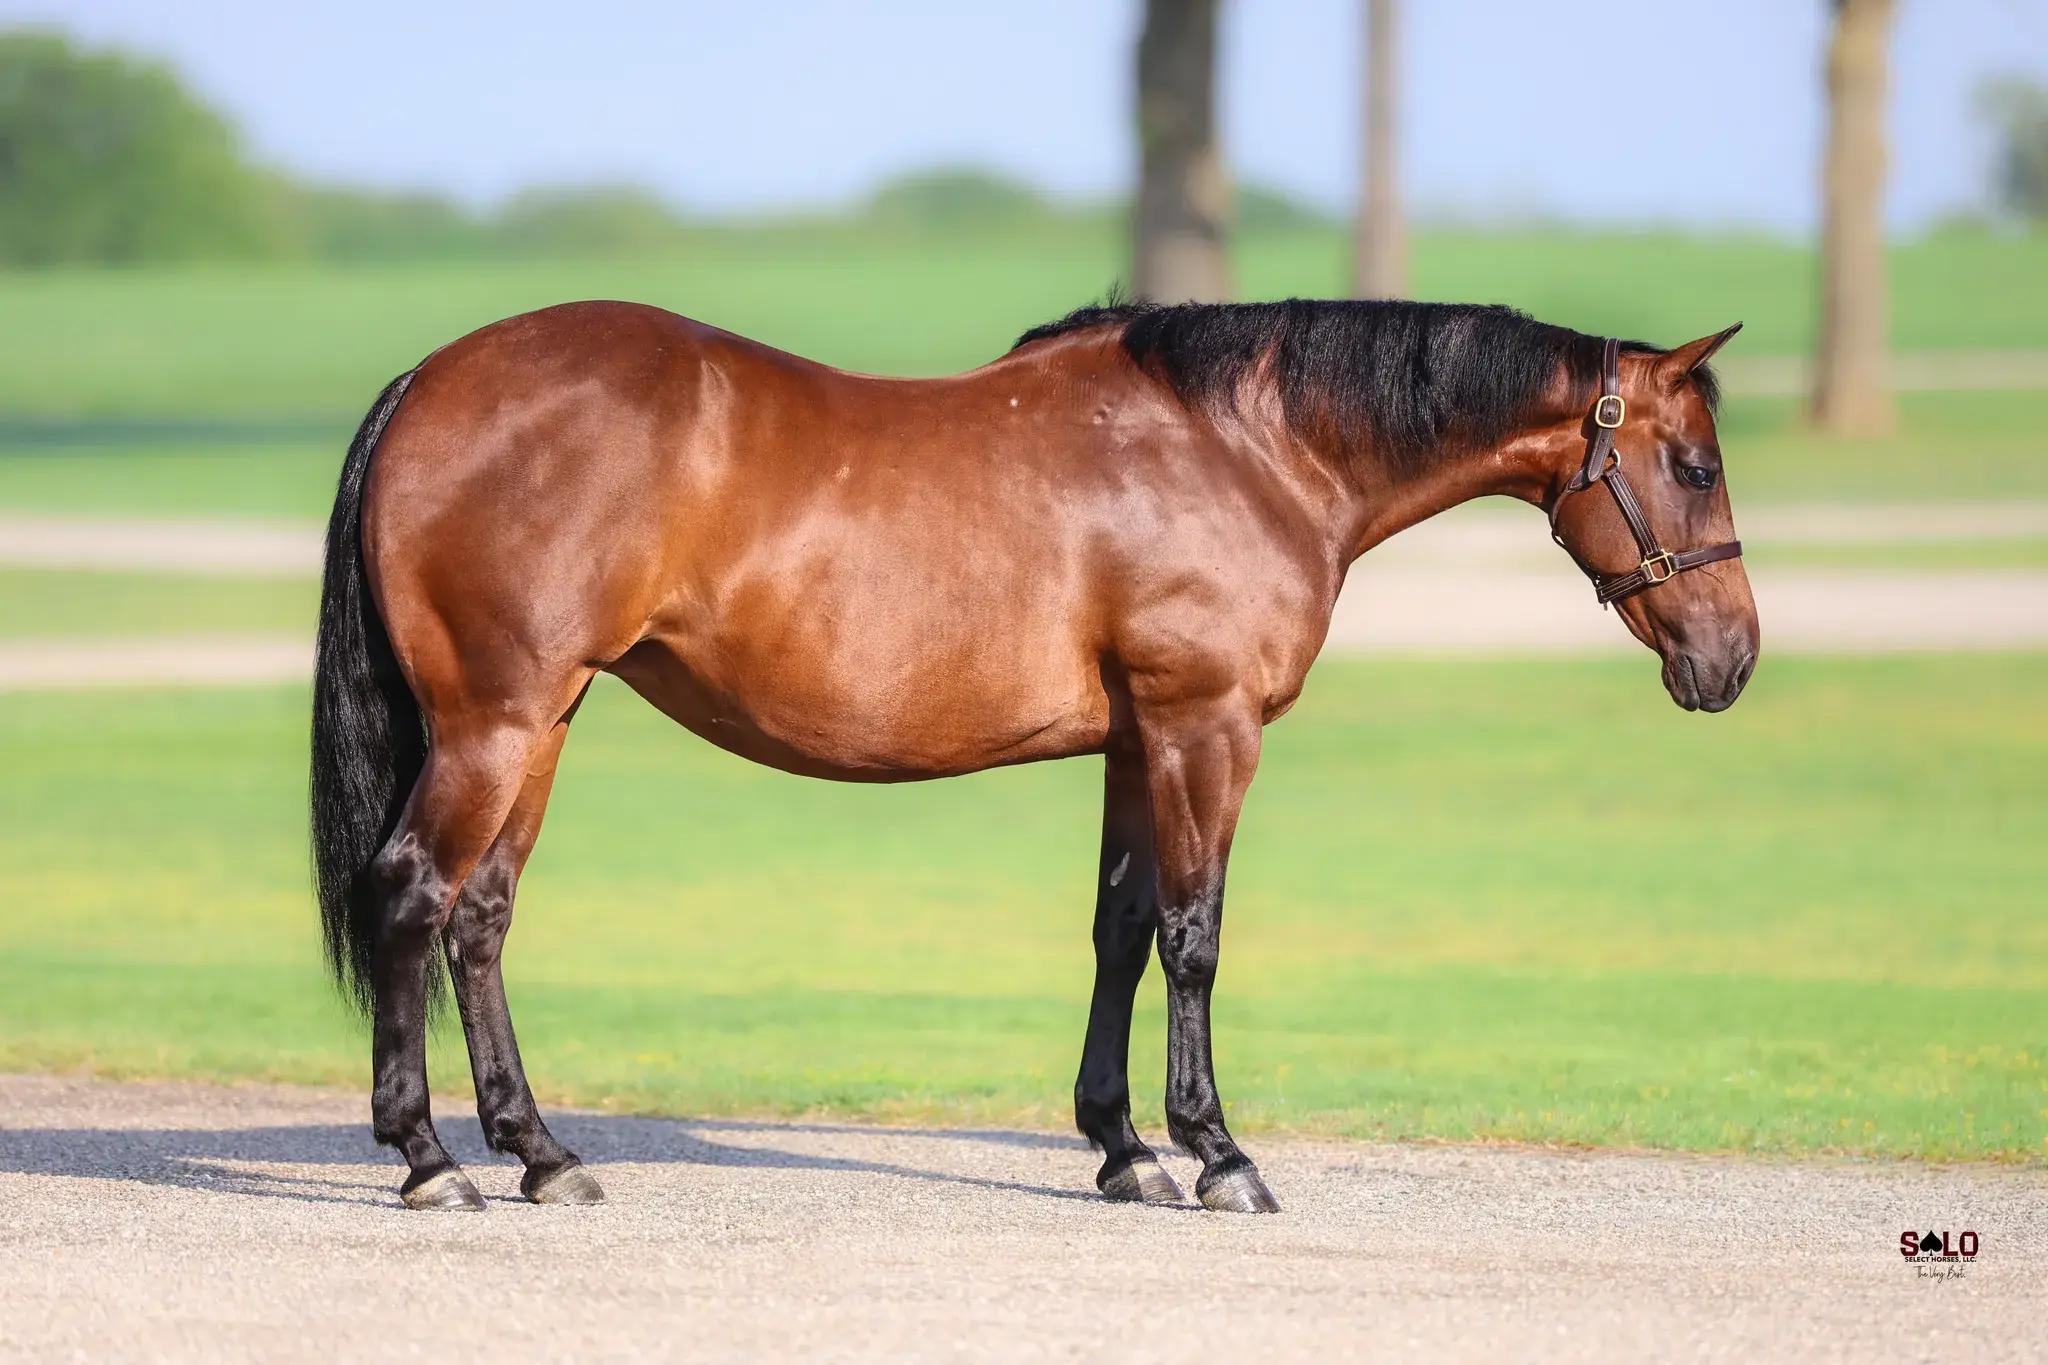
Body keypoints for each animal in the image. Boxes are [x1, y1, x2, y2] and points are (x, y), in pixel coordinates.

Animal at [310, 296, 1756, 1214]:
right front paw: (1217, 1154)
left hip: (541, 723)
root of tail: (430, 379)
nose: (1733, 656)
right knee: (411, 897)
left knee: (481, 918)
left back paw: (541, 1153)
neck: (1245, 449)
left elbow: (1121, 932)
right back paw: (431, 1161)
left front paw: (1123, 1149)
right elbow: (1194, 937)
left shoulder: (1134, 741)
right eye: (1692, 464)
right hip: (496, 723)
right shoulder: (1204, 726)